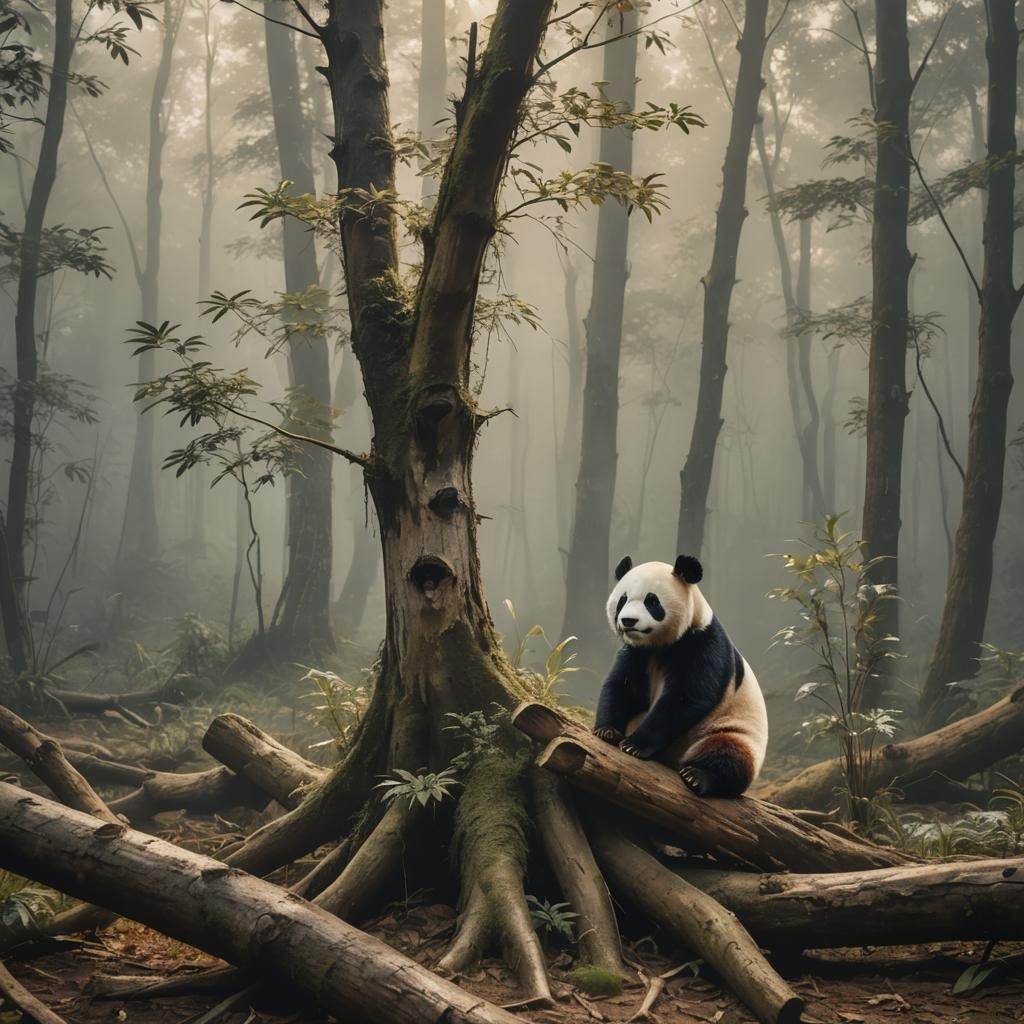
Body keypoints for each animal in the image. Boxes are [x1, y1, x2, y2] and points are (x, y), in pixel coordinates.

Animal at [592, 554, 768, 798]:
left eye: (652, 601)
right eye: (623, 600)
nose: (628, 621)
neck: (661, 645)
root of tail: (673, 761)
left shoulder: (703, 644)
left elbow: (687, 697)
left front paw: (633, 745)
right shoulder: (637, 651)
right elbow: (622, 686)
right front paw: (607, 730)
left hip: (730, 728)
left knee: (728, 752)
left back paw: (697, 775)